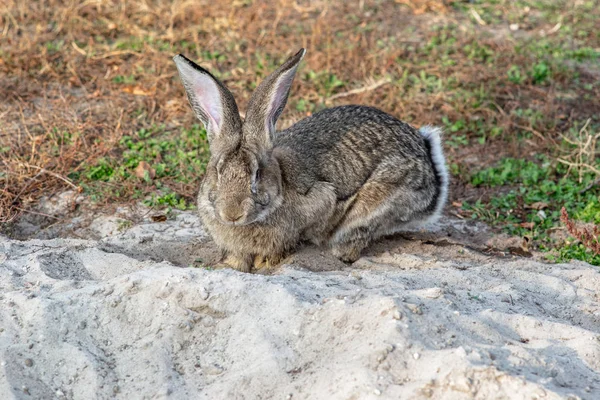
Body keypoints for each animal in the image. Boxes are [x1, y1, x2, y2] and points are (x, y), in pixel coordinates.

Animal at [171, 47, 448, 272]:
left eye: (257, 174)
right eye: (217, 170)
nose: (232, 214)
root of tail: (427, 160)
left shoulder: (321, 200)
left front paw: (266, 264)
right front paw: (230, 266)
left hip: (379, 204)